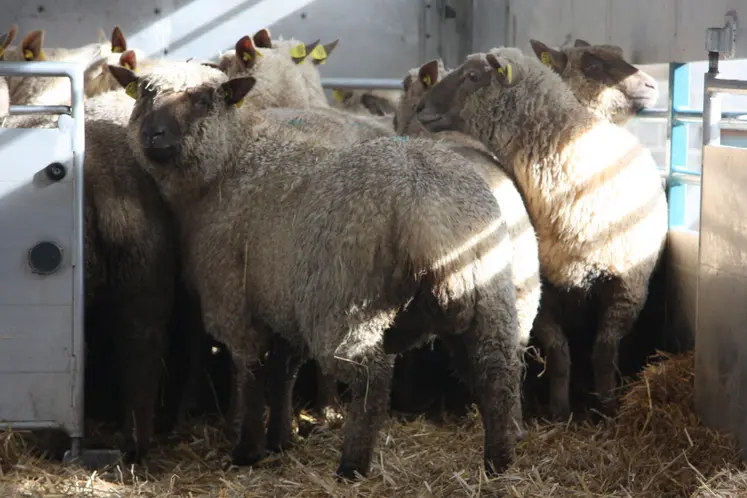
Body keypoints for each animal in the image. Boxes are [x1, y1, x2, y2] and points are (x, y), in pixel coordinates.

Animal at [107, 60, 522, 479]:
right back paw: (498, 462)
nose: (153, 135)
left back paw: (352, 465)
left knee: (371, 380)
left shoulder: (233, 298)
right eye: (144, 93)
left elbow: (251, 371)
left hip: (344, 301)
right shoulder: (280, 297)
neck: (229, 165)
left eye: (203, 100)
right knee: (496, 375)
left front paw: (247, 450)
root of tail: (429, 209)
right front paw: (279, 439)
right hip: (492, 298)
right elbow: (283, 372)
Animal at [415, 48, 668, 420]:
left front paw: (608, 407)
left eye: (474, 76)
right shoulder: (545, 290)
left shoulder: (628, 285)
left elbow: (604, 352)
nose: (419, 108)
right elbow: (559, 353)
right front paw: (560, 411)